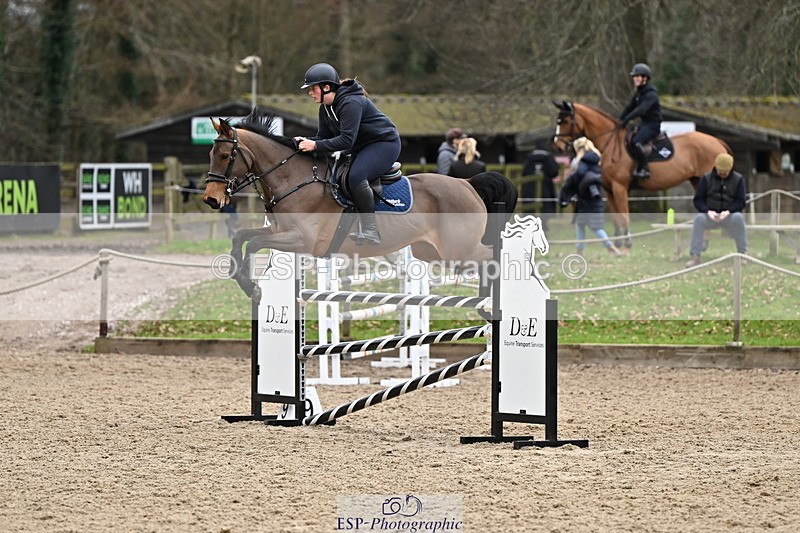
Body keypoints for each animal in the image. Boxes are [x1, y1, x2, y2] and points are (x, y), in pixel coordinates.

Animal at [203, 109, 518, 300]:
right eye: (210, 154)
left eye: (224, 155)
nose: (211, 199)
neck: (295, 178)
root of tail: (468, 184)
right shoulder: (279, 232)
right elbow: (242, 236)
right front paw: (244, 281)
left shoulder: (302, 240)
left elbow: (254, 243)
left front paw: (253, 287)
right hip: (430, 251)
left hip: (457, 249)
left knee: (491, 256)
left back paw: (489, 301)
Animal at [552, 100, 731, 248]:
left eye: (565, 122)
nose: (558, 146)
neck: (610, 144)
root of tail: (717, 141)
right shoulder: (609, 190)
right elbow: (616, 217)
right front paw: (617, 242)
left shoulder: (620, 187)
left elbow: (624, 215)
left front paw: (628, 242)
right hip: (697, 181)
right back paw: (704, 243)